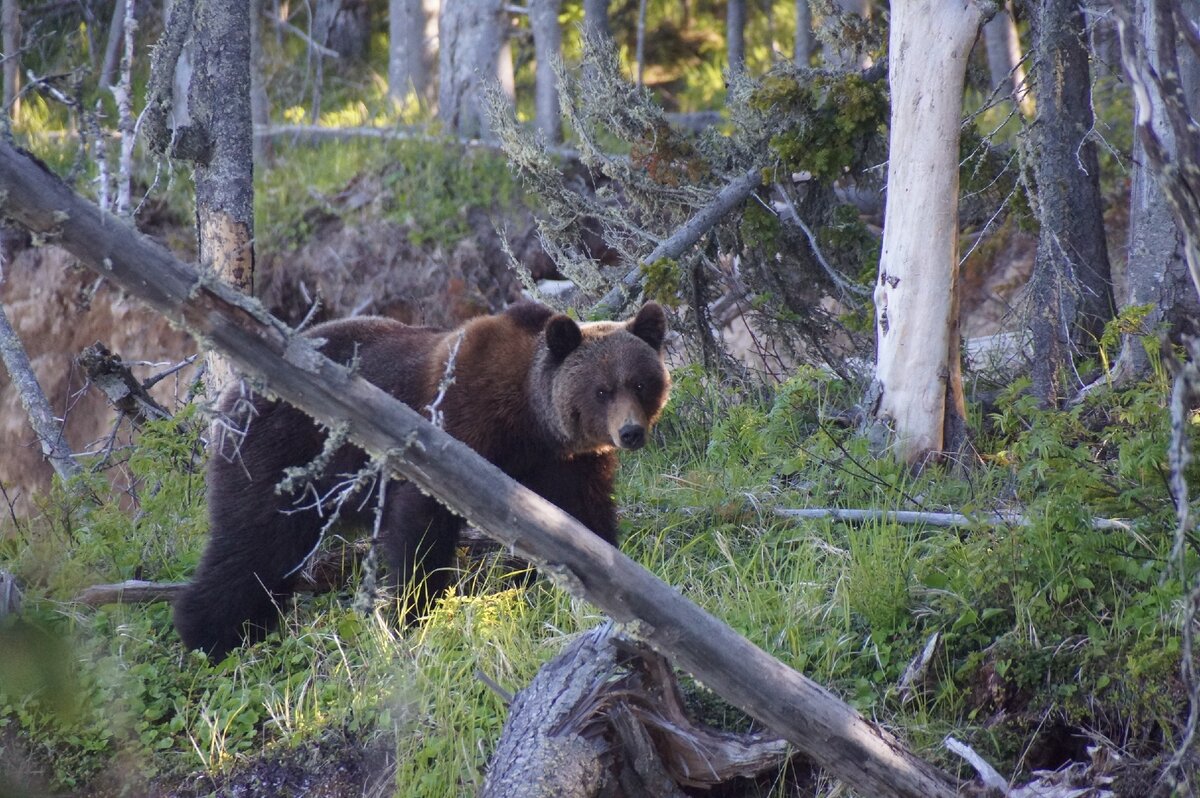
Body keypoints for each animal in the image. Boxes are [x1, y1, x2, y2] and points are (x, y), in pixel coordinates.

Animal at [174, 302, 672, 657]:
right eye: (602, 390)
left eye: (640, 383)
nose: (630, 432)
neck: (530, 422)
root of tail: (235, 390)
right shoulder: (459, 428)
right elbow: (421, 523)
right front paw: (414, 611)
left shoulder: (567, 462)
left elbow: (586, 517)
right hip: (280, 453)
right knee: (253, 540)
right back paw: (212, 634)